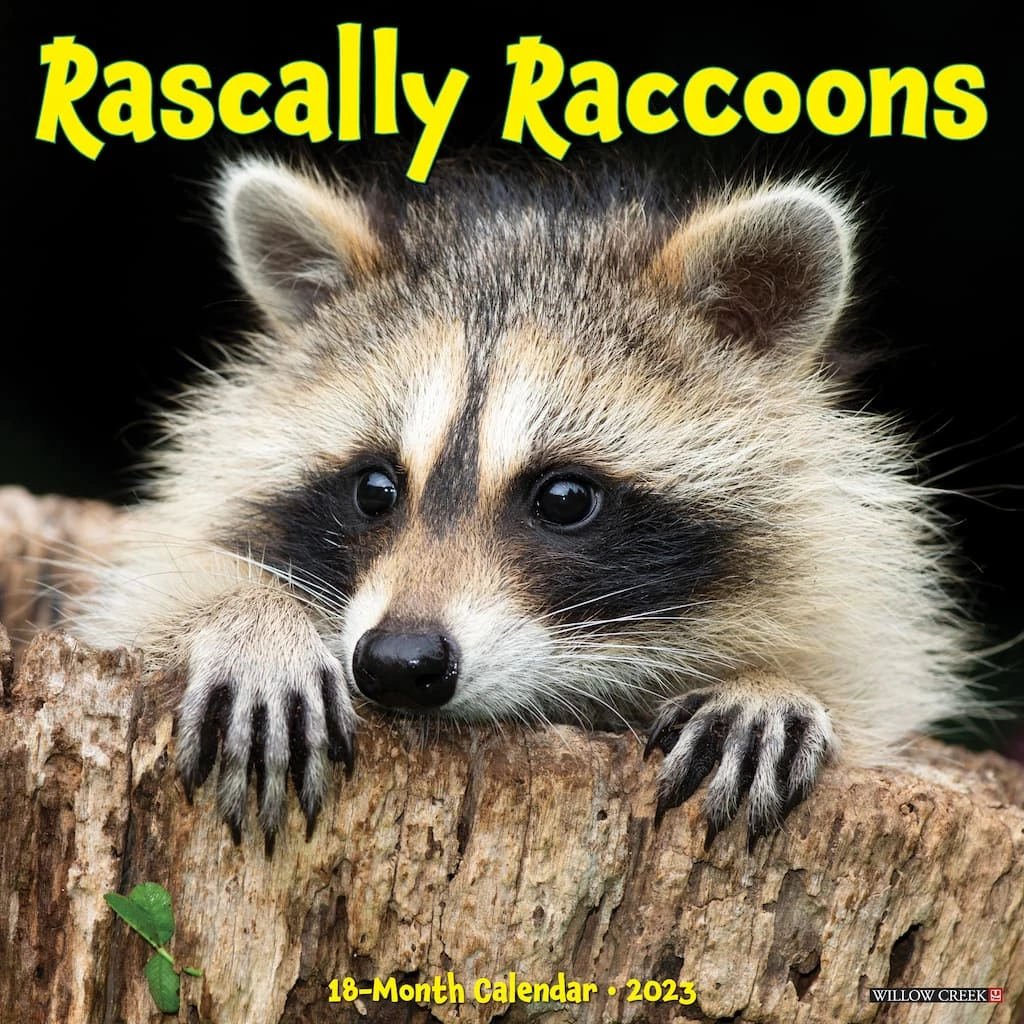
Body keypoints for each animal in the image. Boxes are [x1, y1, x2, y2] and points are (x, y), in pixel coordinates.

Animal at [70, 155, 972, 854]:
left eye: (564, 498)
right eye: (374, 489)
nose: (398, 662)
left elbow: (864, 669)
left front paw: (773, 686)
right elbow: (144, 595)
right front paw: (250, 617)